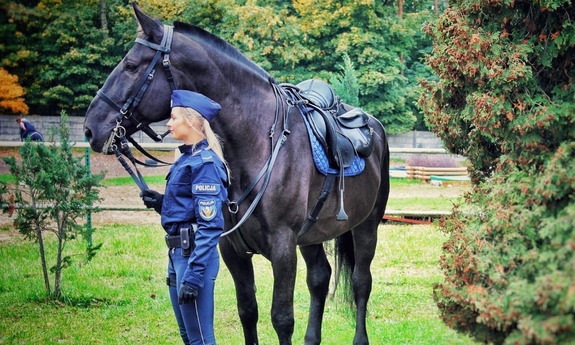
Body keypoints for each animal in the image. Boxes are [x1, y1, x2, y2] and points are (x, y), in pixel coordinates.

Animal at [84, 3, 392, 344]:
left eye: (130, 66)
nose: (91, 127)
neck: (256, 143)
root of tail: (373, 126)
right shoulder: (232, 249)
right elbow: (248, 311)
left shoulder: (283, 248)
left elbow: (282, 318)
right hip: (312, 235)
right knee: (319, 279)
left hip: (366, 226)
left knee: (361, 282)